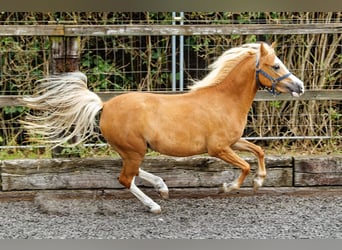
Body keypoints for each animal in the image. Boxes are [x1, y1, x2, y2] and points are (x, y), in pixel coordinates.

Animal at [22, 41, 304, 213]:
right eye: (276, 65)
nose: (300, 87)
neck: (224, 101)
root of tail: (105, 105)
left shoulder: (233, 141)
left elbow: (259, 151)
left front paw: (259, 181)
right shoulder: (218, 148)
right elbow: (244, 165)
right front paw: (228, 187)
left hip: (132, 150)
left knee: (132, 173)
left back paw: (162, 187)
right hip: (134, 149)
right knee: (125, 178)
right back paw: (154, 205)